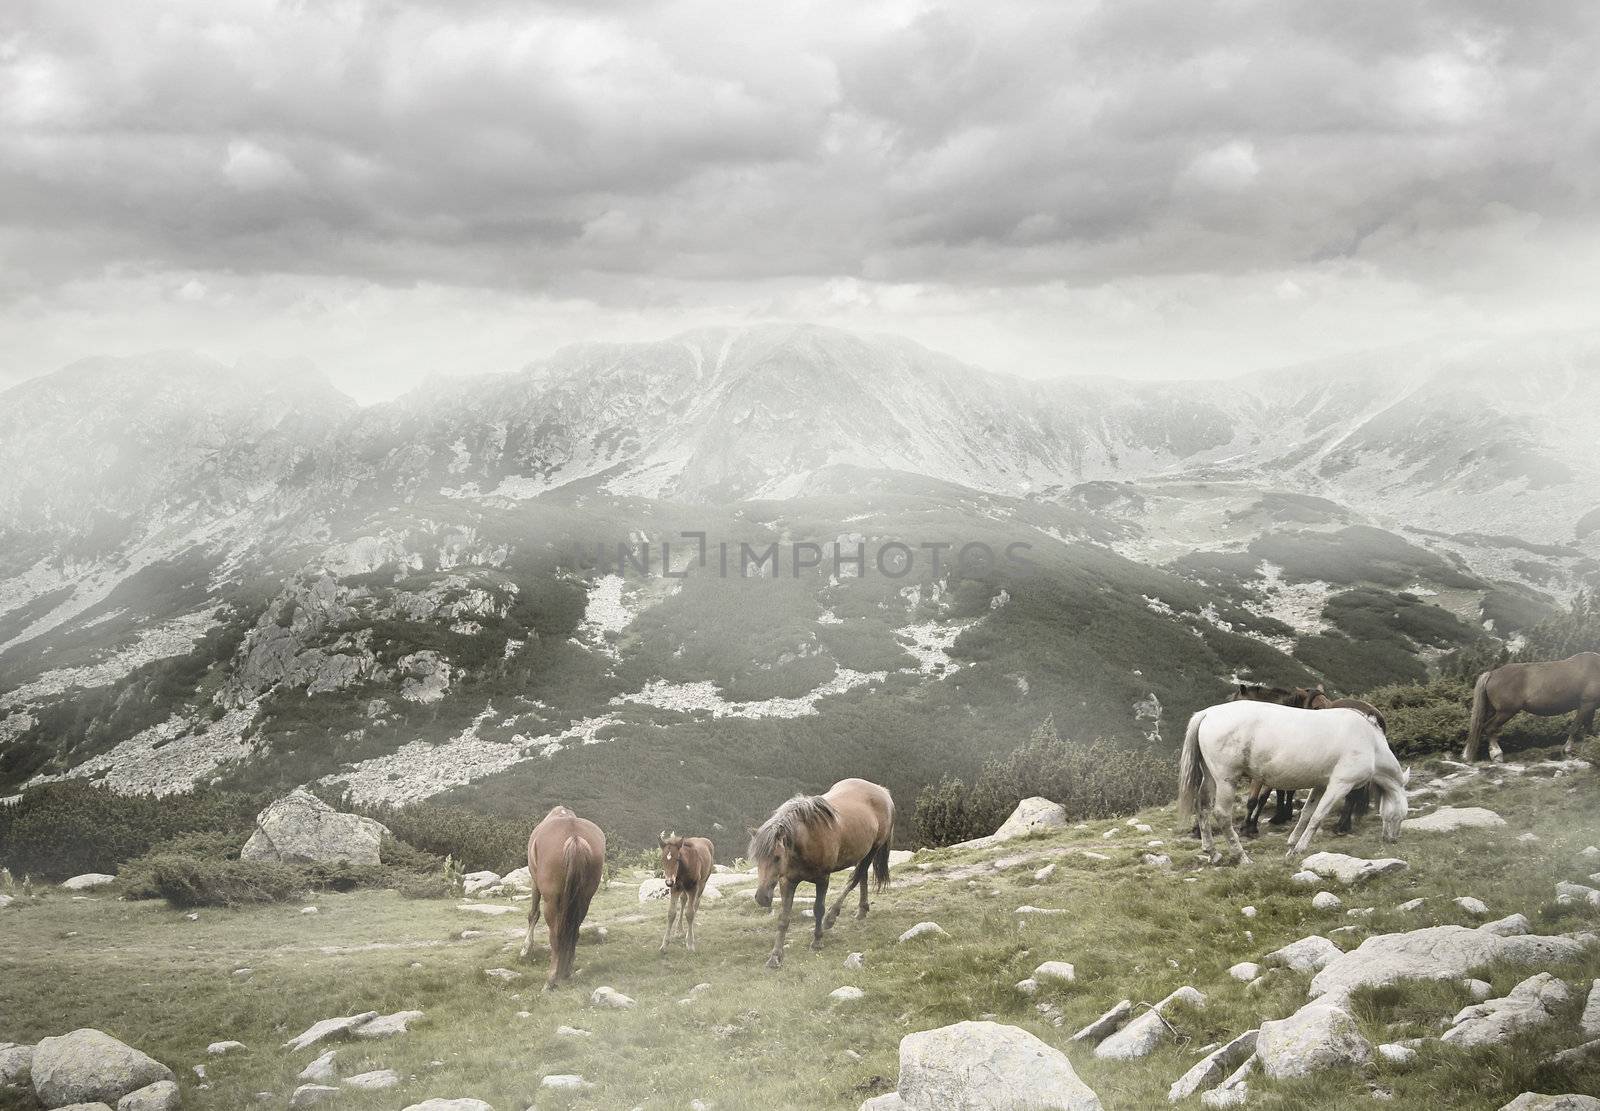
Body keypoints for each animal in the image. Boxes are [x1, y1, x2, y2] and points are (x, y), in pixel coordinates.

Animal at [518, 810, 604, 992]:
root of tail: (575, 837)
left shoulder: (535, 882)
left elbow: (533, 914)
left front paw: (525, 949)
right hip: (583, 900)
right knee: (574, 932)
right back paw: (565, 972)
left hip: (551, 901)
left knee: (556, 936)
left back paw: (550, 980)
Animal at [659, 832, 716, 960]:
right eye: (663, 859)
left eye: (677, 858)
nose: (668, 882)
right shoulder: (675, 888)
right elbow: (671, 913)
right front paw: (664, 946)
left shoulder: (693, 888)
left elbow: (690, 913)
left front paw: (690, 944)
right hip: (683, 889)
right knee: (683, 900)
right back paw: (679, 930)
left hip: (702, 883)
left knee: (695, 905)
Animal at [745, 778, 896, 973]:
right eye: (757, 858)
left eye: (777, 857)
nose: (762, 898)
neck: (807, 840)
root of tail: (882, 791)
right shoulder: (787, 882)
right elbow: (784, 919)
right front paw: (775, 957)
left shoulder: (823, 879)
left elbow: (818, 909)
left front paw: (817, 941)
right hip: (863, 851)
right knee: (861, 876)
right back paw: (861, 910)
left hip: (873, 849)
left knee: (855, 878)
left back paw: (832, 917)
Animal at [1171, 701, 1408, 864]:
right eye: (1403, 815)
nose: (1393, 840)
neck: (1370, 742)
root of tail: (1208, 713)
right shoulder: (1339, 785)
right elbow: (1318, 817)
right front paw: (1300, 849)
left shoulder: (1321, 785)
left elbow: (1306, 815)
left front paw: (1292, 846)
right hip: (1226, 779)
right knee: (1221, 814)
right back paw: (1241, 856)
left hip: (1210, 777)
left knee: (1202, 807)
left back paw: (1212, 852)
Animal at [1465, 653, 1600, 765]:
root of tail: (1492, 674)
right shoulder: (1585, 705)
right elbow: (1575, 728)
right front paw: (1567, 752)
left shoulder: (1590, 707)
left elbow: (1587, 730)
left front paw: (1586, 753)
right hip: (1506, 712)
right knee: (1489, 728)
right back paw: (1497, 755)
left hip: (1493, 711)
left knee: (1481, 727)